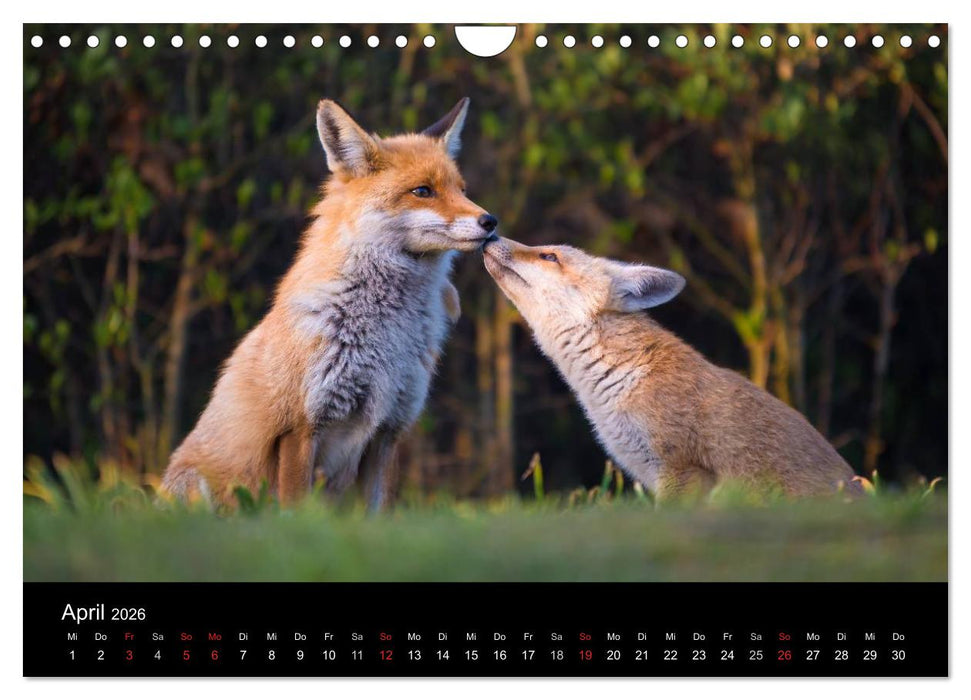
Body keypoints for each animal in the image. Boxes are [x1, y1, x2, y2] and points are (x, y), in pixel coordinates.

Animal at [162, 97, 499, 509]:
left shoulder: (389, 430)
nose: (490, 221)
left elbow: (377, 511)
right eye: (423, 191)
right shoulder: (301, 427)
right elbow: (294, 509)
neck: (385, 334)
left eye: (461, 189)